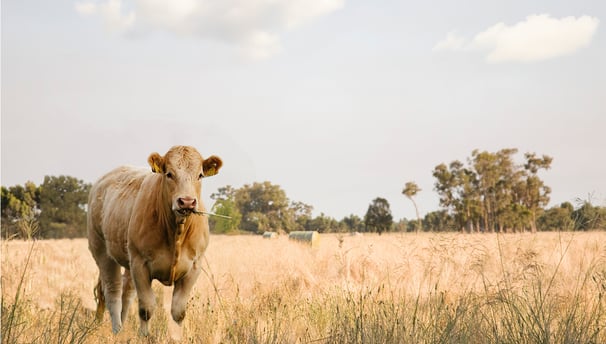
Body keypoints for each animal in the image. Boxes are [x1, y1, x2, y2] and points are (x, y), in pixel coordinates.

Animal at [88, 146, 223, 336]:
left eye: (200, 175)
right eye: (169, 174)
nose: (186, 202)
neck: (176, 233)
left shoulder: (194, 266)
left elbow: (178, 311)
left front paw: (178, 337)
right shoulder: (140, 264)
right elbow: (146, 308)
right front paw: (144, 336)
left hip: (128, 258)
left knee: (126, 292)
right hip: (102, 251)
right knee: (112, 292)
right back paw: (117, 331)